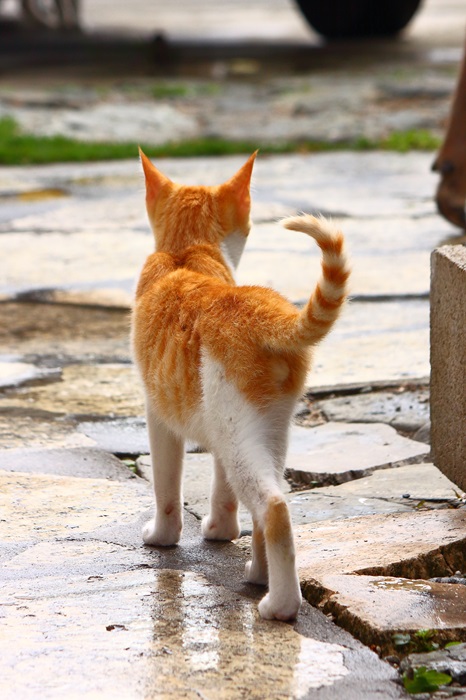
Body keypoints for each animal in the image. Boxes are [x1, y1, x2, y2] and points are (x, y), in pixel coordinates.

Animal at [132, 150, 350, 620]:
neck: (184, 251)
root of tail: (265, 311)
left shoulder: (158, 413)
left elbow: (165, 484)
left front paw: (162, 536)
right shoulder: (218, 428)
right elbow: (222, 490)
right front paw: (219, 530)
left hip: (237, 431)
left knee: (274, 507)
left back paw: (279, 605)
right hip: (264, 430)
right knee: (264, 498)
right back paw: (258, 574)